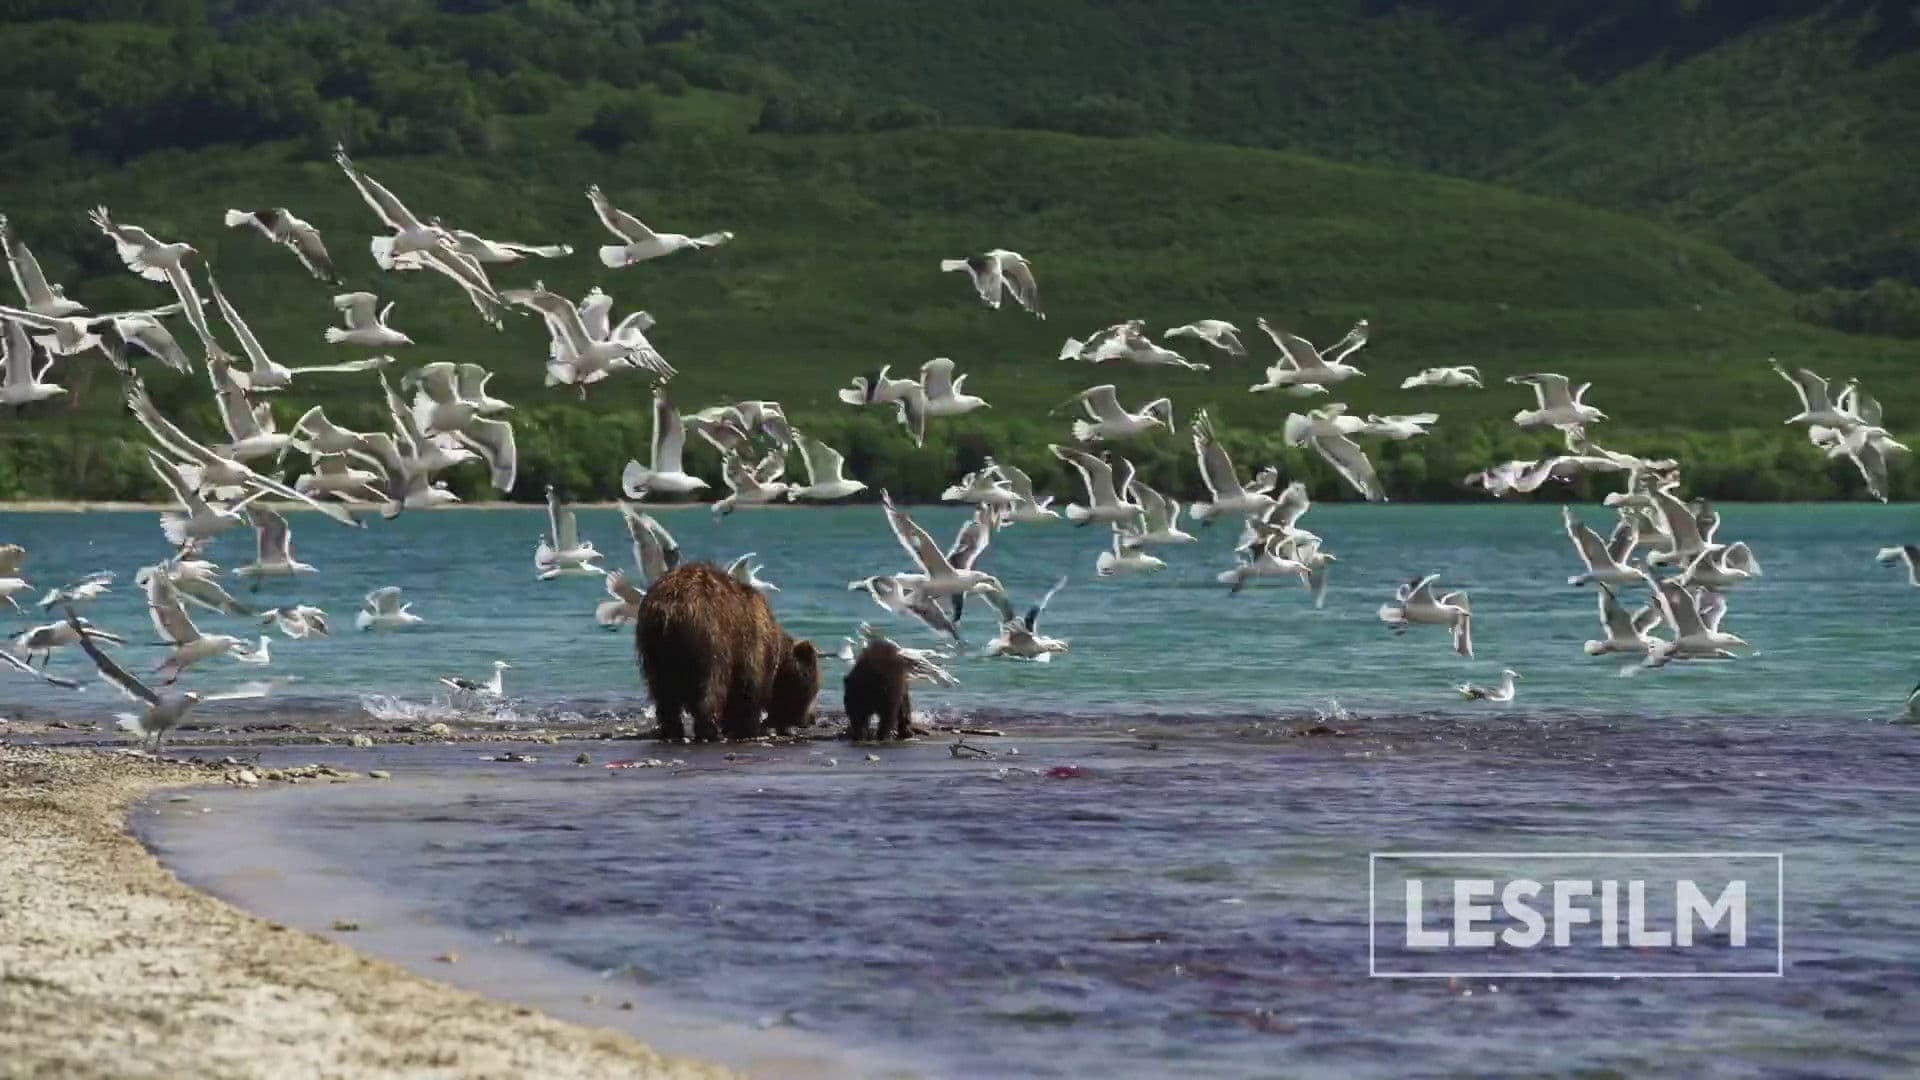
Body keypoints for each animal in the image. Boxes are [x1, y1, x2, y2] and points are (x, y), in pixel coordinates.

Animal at [635, 562, 817, 742]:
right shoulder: (751, 645)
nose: (811, 719)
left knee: (663, 692)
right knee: (712, 684)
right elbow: (748, 690)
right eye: (812, 690)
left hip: (655, 646)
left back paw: (672, 730)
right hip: (710, 635)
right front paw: (750, 728)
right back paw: (709, 731)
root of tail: (670, 608)